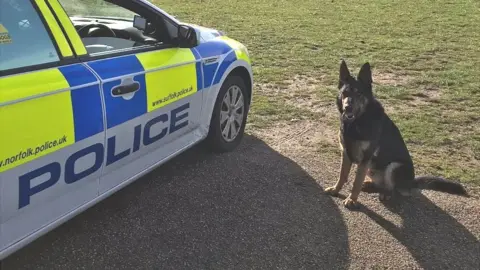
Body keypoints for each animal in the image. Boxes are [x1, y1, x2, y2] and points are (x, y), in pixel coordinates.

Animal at [324, 60, 466, 209]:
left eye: (359, 93)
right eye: (344, 93)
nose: (347, 108)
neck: (357, 121)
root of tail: (411, 182)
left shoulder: (365, 158)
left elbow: (356, 181)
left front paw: (352, 199)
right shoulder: (346, 153)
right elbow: (342, 175)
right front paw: (336, 189)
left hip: (394, 166)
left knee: (391, 187)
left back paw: (385, 193)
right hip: (372, 168)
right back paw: (370, 184)